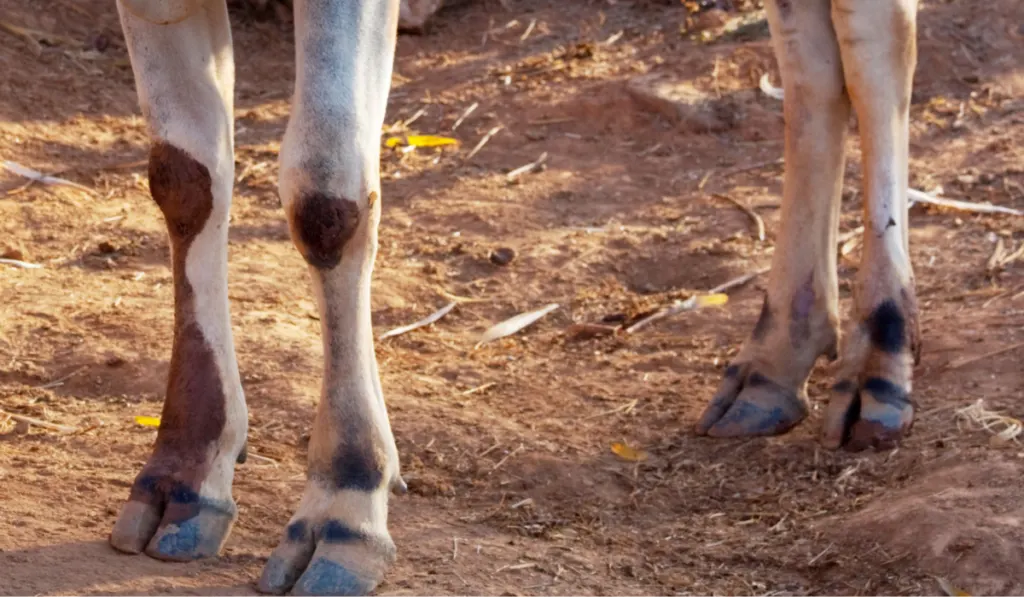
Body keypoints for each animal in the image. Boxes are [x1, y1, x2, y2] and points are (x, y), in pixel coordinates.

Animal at [103, 0, 921, 593]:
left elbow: (325, 194)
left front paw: (345, 500)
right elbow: (184, 174)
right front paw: (186, 470)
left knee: (879, 41)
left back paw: (880, 358)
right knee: (811, 67)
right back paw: (777, 360)